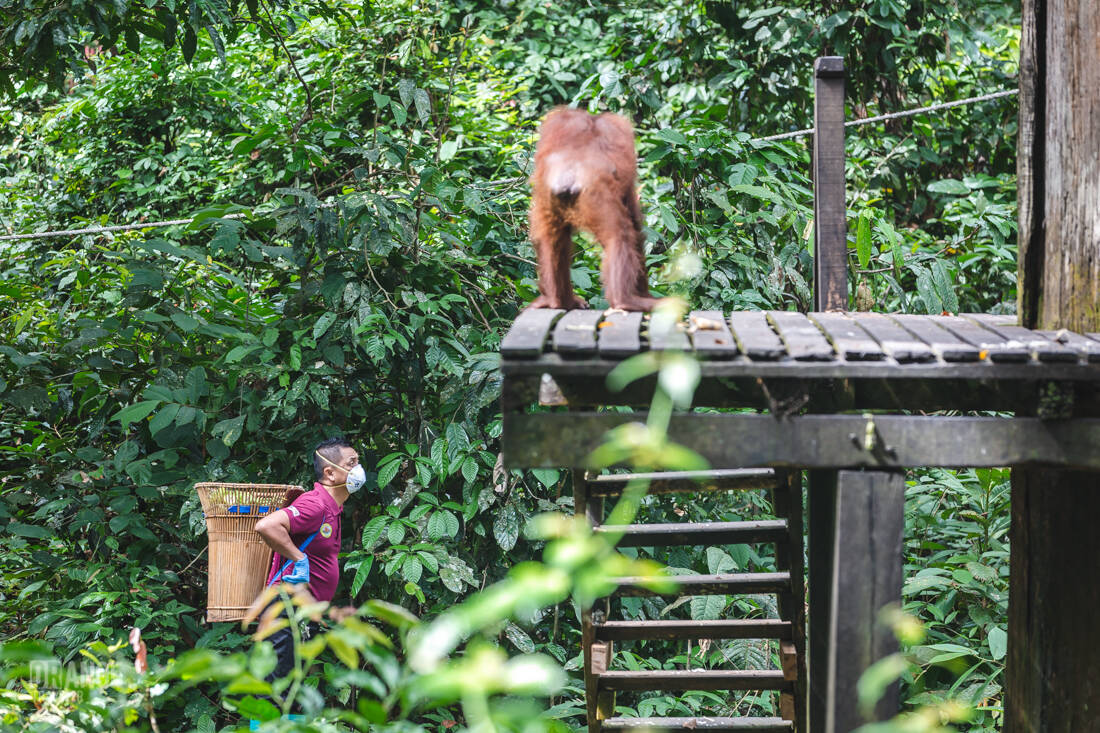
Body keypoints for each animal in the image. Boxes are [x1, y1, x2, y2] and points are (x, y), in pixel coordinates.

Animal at [526, 106, 661, 312]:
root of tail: (568, 176)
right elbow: (634, 220)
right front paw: (644, 293)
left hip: (547, 199)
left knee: (551, 241)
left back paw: (558, 301)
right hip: (595, 198)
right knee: (619, 235)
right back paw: (625, 301)